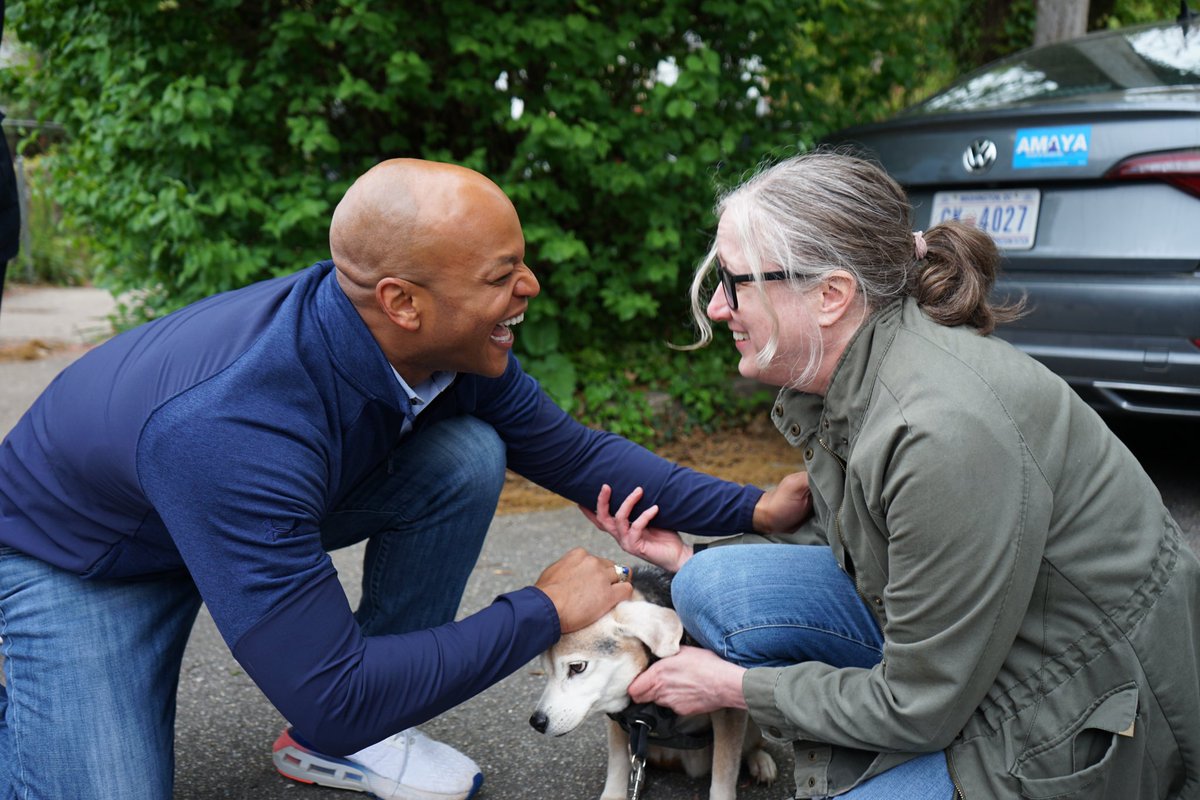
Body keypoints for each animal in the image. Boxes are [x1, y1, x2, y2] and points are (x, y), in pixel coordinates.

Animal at [528, 566, 772, 796]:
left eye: (577, 667)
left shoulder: (728, 712)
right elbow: (617, 761)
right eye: (546, 671)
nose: (536, 722)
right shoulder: (615, 714)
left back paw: (760, 761)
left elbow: (724, 775)